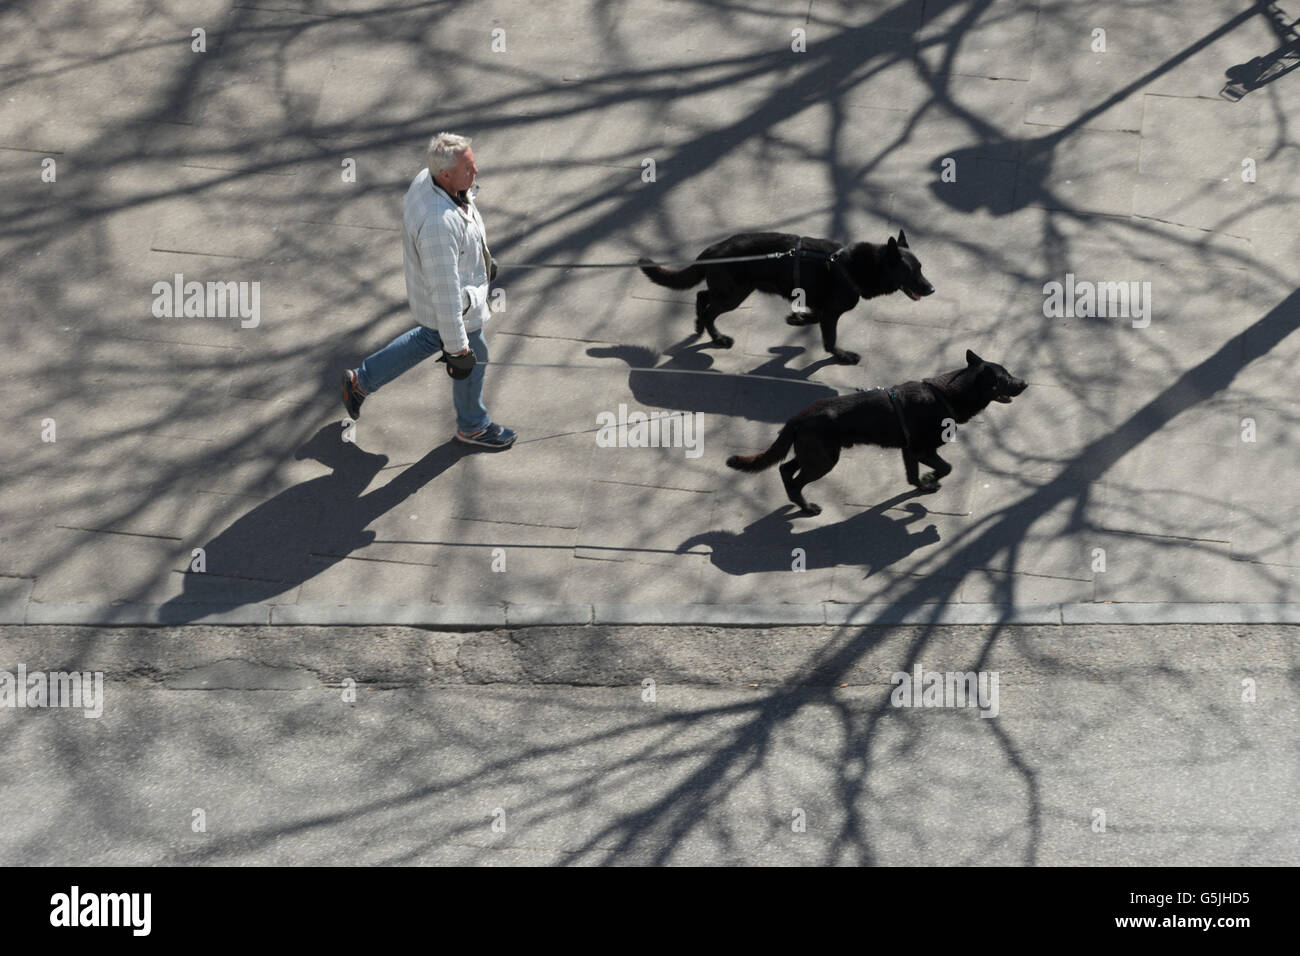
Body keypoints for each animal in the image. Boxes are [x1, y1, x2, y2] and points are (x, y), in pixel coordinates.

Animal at [639, 231, 935, 366]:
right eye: (912, 272)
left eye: (922, 268)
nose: (932, 289)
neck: (858, 265)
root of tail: (712, 250)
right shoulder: (832, 313)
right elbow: (830, 340)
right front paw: (842, 355)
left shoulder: (821, 307)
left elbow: (812, 317)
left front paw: (796, 320)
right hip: (734, 295)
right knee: (709, 309)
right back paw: (717, 337)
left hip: (730, 291)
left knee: (702, 296)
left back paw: (699, 326)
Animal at [728, 351, 1019, 515]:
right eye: (1006, 378)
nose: (1025, 382)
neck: (946, 394)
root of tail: (795, 418)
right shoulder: (923, 450)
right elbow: (946, 467)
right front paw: (930, 479)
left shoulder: (910, 451)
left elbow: (912, 475)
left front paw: (923, 486)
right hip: (824, 460)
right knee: (795, 479)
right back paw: (807, 508)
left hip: (813, 454)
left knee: (784, 469)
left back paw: (795, 501)